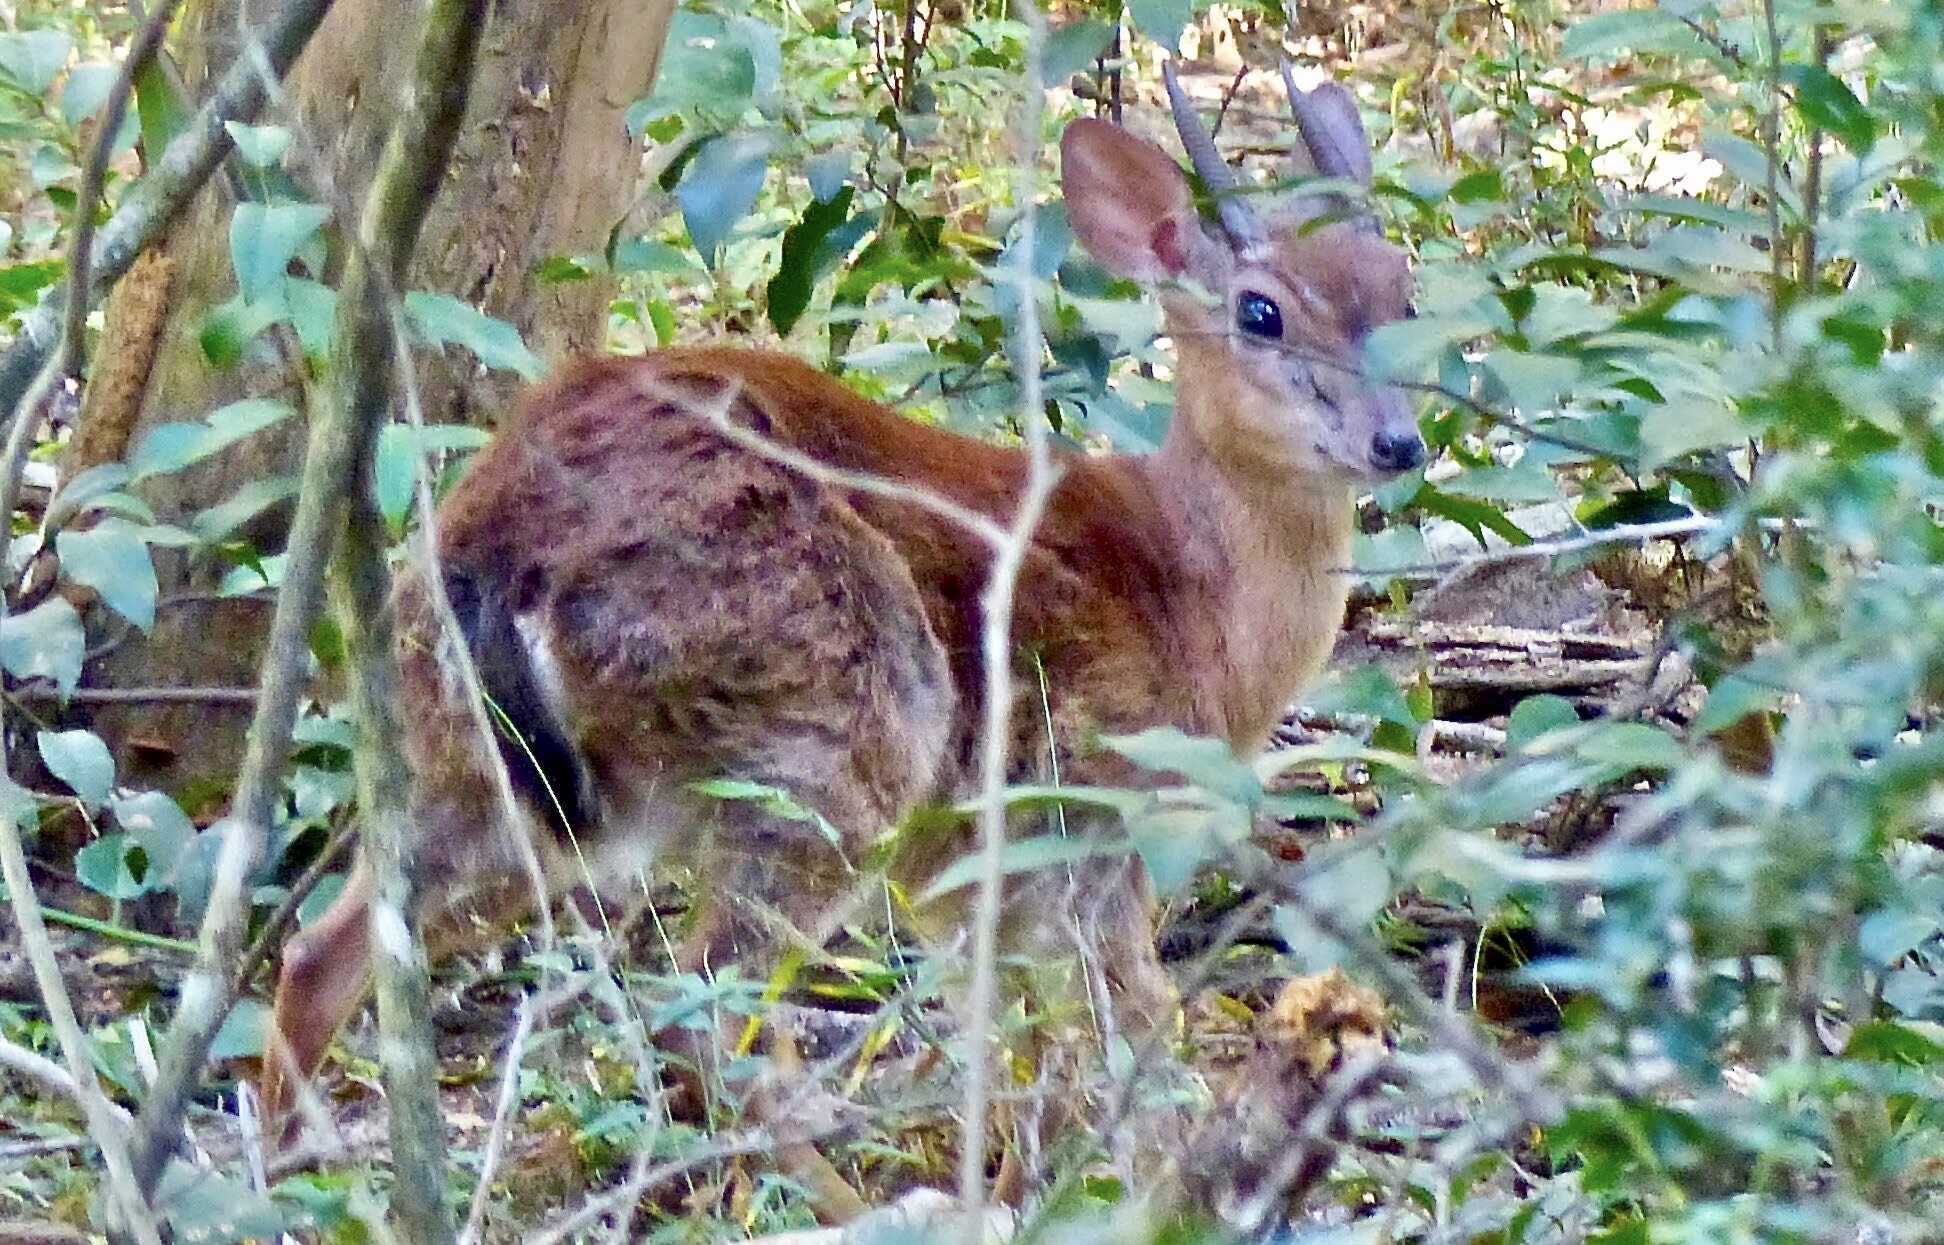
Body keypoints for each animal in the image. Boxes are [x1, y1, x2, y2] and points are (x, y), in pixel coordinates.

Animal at [262, 64, 1421, 1200]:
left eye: (1401, 287)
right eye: (1262, 312)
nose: (1399, 441)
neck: (1192, 596)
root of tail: (504, 538)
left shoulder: (969, 876)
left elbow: (1019, 1042)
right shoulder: (1082, 802)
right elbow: (1129, 1024)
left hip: (474, 757)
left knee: (328, 949)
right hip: (831, 739)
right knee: (705, 1001)